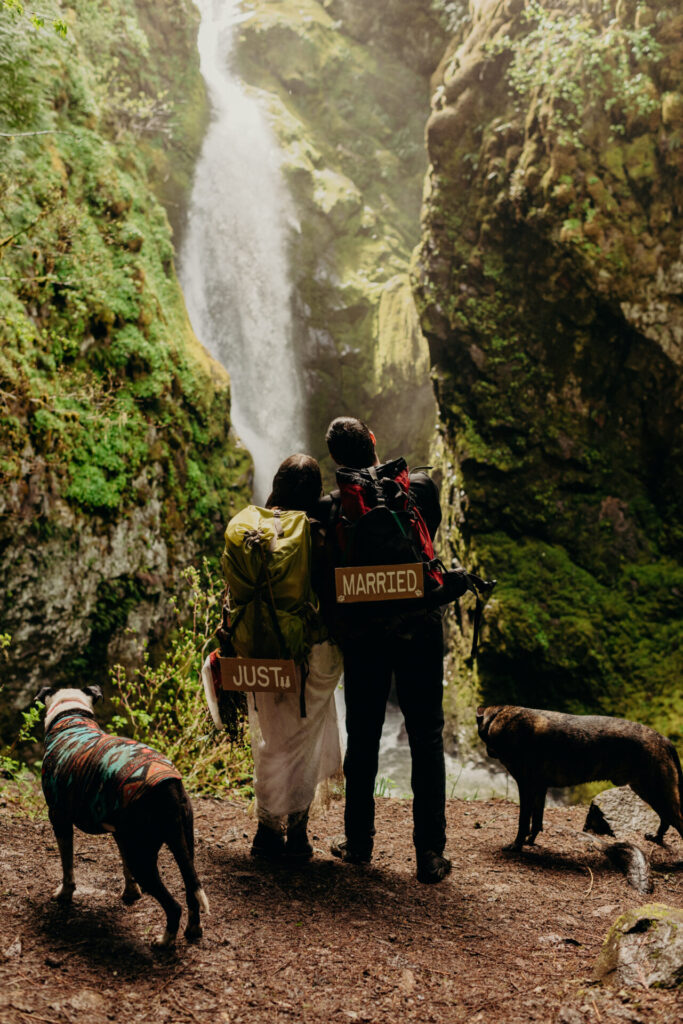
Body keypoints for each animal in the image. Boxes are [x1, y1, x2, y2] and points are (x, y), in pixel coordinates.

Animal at [39, 684, 208, 946]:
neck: (71, 717)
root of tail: (168, 787)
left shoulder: (59, 818)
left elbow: (67, 865)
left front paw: (64, 893)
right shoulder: (121, 834)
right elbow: (124, 865)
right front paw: (131, 892)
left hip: (143, 857)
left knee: (173, 906)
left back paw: (165, 941)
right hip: (183, 844)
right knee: (191, 890)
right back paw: (193, 929)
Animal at [479, 704, 683, 856]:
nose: (489, 752)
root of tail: (665, 740)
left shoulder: (526, 787)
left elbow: (523, 822)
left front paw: (517, 845)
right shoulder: (540, 788)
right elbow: (536, 821)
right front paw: (530, 841)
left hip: (657, 791)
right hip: (649, 791)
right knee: (666, 819)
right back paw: (657, 838)